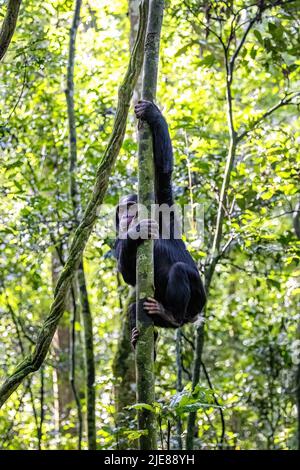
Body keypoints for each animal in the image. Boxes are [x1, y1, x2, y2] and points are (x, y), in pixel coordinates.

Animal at [115, 101, 206, 346]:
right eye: (120, 210)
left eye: (130, 207)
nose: (125, 216)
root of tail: (192, 319)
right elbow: (128, 274)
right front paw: (136, 232)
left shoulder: (165, 209)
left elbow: (163, 172)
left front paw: (152, 113)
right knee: (136, 308)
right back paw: (140, 336)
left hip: (198, 302)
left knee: (180, 270)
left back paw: (171, 315)